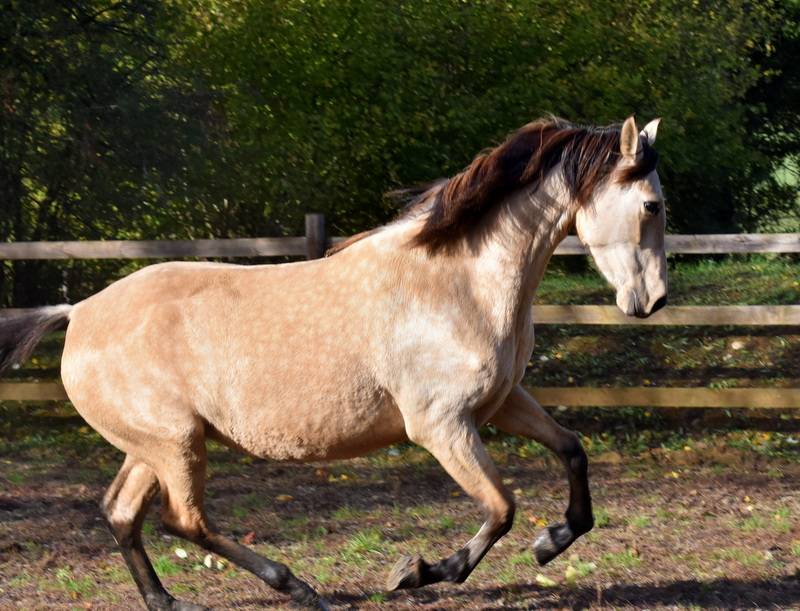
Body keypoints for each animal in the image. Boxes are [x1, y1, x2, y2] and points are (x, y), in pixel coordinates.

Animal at [0, 115, 666, 610]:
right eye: (652, 206)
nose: (653, 301)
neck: (459, 283)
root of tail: (78, 312)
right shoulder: (440, 426)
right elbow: (501, 508)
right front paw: (419, 571)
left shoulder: (501, 403)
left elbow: (572, 449)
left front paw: (552, 542)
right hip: (175, 443)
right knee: (183, 520)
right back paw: (298, 587)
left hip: (155, 446)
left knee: (123, 513)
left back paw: (169, 601)